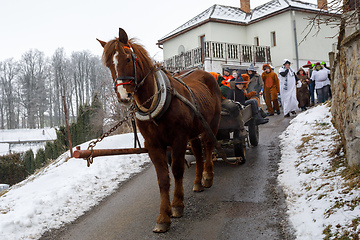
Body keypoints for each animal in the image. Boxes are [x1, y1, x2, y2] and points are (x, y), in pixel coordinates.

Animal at [98, 28, 222, 232]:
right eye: (109, 65)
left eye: (128, 59)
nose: (124, 96)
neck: (153, 105)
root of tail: (206, 73)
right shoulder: (153, 145)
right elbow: (163, 179)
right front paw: (163, 216)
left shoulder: (178, 138)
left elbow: (177, 170)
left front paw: (177, 205)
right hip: (194, 130)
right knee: (198, 152)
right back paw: (197, 182)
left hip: (211, 123)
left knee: (209, 145)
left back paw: (207, 176)